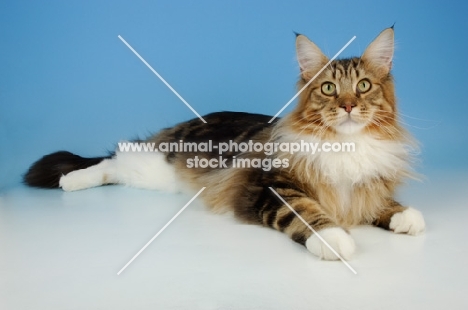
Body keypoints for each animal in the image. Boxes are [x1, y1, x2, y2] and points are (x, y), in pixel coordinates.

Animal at [22, 26, 424, 260]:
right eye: (328, 88)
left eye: (363, 86)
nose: (348, 105)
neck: (345, 146)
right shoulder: (270, 188)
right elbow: (305, 213)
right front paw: (333, 238)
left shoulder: (366, 185)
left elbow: (380, 202)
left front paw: (405, 216)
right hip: (153, 165)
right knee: (111, 159)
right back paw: (71, 180)